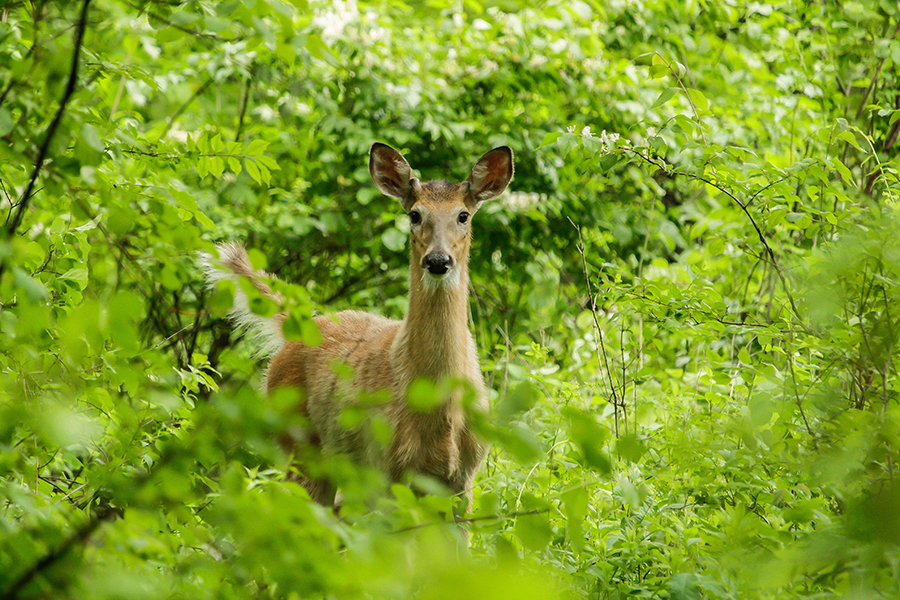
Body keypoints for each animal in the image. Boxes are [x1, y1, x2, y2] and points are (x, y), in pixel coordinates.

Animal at [204, 142, 512, 524]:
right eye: (415, 215)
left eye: (463, 215)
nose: (438, 261)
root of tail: (301, 327)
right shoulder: (389, 468)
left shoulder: (461, 478)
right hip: (302, 445)